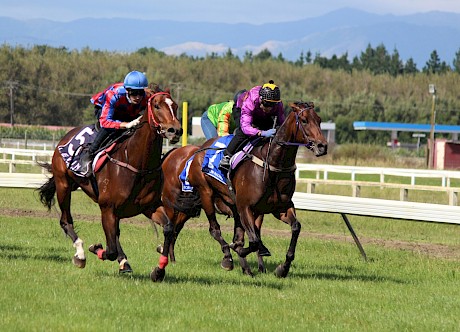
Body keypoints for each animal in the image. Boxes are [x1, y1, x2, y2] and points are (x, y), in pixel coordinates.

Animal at [37, 86, 181, 280]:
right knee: (66, 221)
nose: (175, 130)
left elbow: (168, 229)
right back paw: (80, 254)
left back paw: (123, 262)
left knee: (115, 234)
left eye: (176, 106)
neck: (137, 163)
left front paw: (159, 270)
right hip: (63, 185)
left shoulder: (149, 207)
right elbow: (110, 250)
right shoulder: (107, 208)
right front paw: (95, 248)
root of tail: (66, 135)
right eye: (157, 106)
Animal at [154, 100, 328, 278]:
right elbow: (253, 241)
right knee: (209, 229)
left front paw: (282, 268)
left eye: (319, 120)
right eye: (304, 120)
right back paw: (225, 258)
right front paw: (242, 253)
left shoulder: (280, 208)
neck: (272, 164)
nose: (322, 146)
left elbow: (294, 228)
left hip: (192, 207)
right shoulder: (245, 207)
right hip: (200, 195)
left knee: (177, 228)